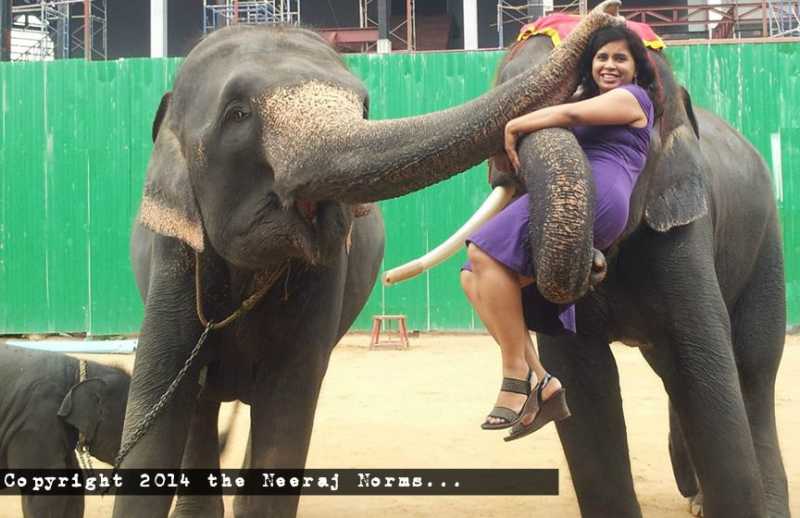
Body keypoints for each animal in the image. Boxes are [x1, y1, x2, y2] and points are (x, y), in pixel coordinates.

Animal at [113, 2, 624, 517]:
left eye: (363, 108)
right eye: (237, 114)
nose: (609, 15)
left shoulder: (324, 279)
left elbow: (287, 407)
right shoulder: (174, 256)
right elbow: (156, 412)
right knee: (202, 406)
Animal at [488, 26, 789, 518]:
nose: (594, 264)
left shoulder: (684, 230)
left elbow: (701, 362)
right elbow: (580, 375)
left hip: (765, 242)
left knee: (753, 366)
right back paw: (696, 497)